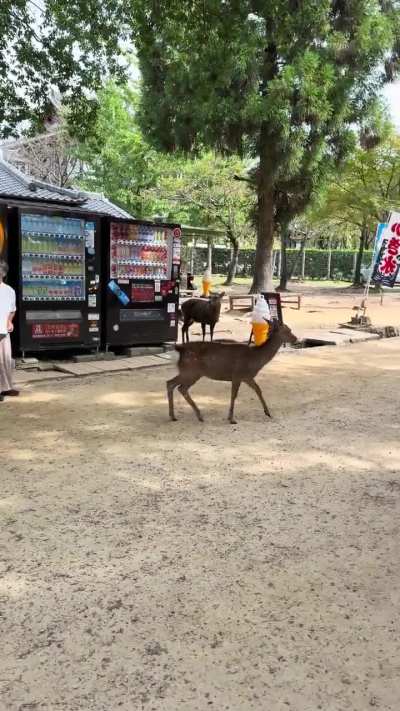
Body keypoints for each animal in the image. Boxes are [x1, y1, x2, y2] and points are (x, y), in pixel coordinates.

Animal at [167, 320, 298, 424]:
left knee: (172, 384)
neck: (256, 360)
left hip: (189, 372)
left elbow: (258, 389)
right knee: (179, 387)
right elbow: (234, 395)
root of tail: (180, 349)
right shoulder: (237, 375)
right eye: (287, 330)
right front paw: (231, 419)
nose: (296, 338)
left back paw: (174, 416)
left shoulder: (247, 377)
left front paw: (268, 412)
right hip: (191, 371)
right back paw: (198, 415)